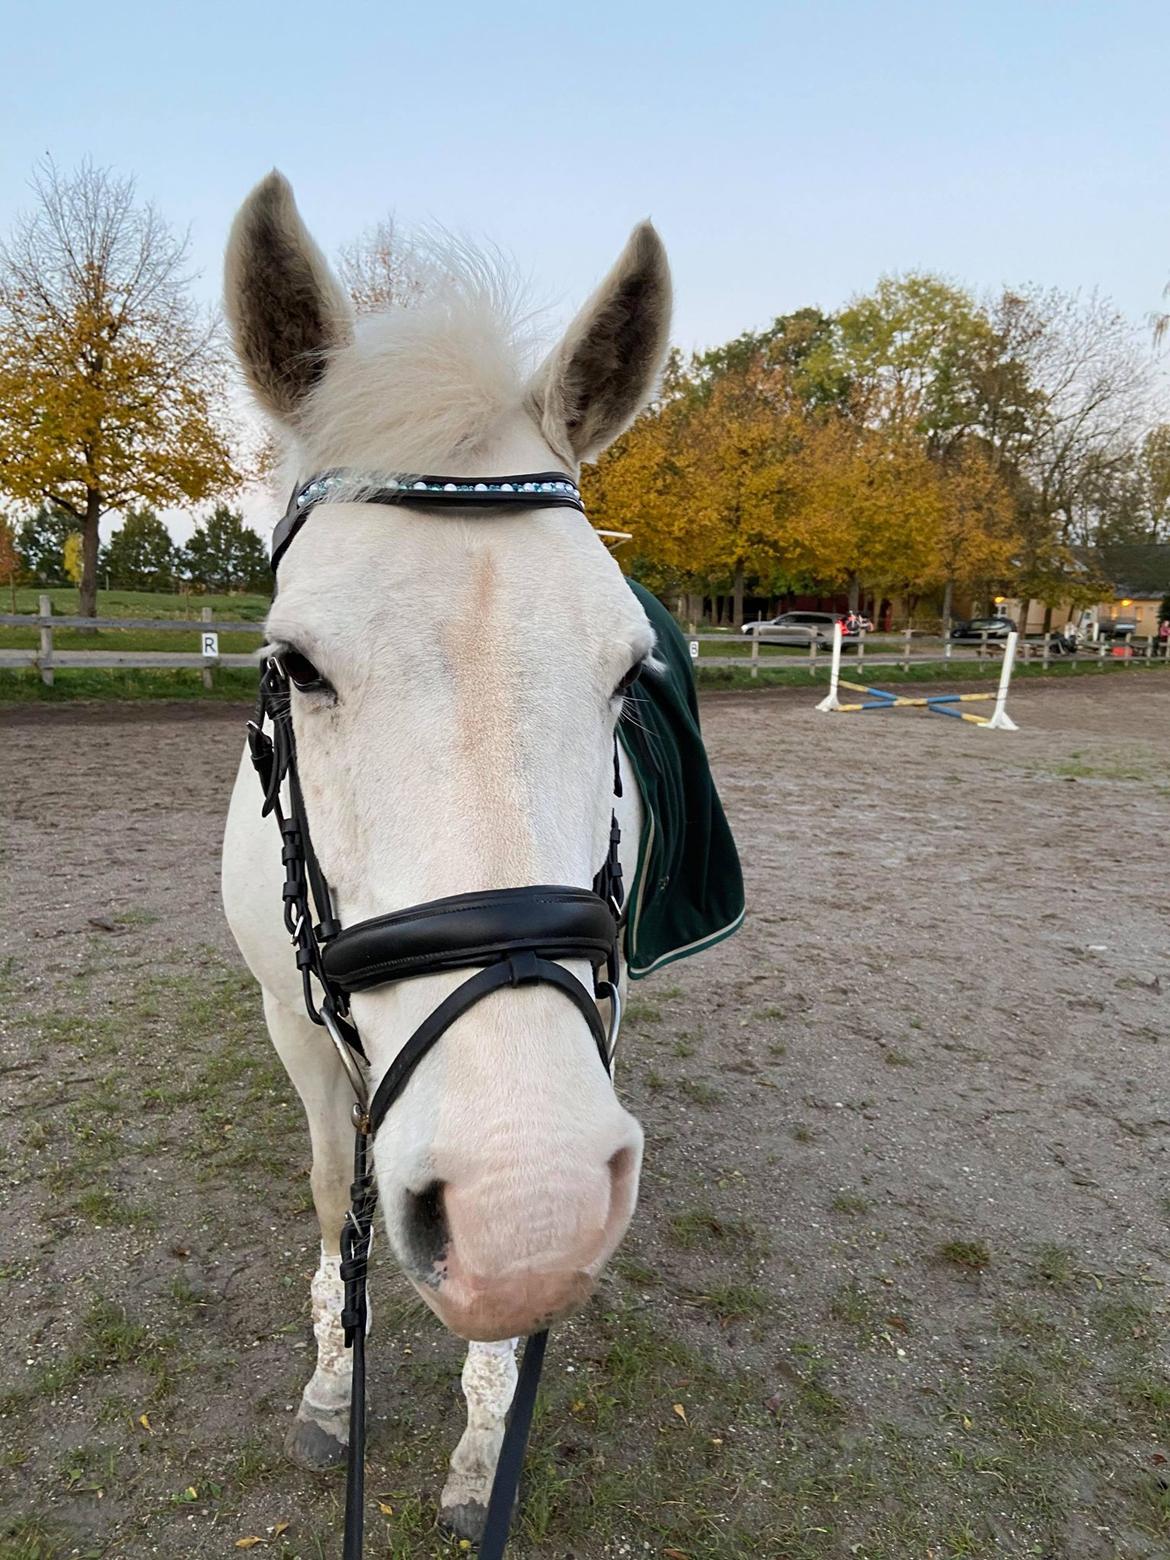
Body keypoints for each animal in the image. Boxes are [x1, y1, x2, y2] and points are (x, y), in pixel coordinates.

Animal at [219, 170, 673, 1535]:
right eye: (296, 663)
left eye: (627, 672)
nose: (527, 1214)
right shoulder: (291, 1020)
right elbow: (337, 1201)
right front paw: (332, 1389)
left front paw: (482, 1449)